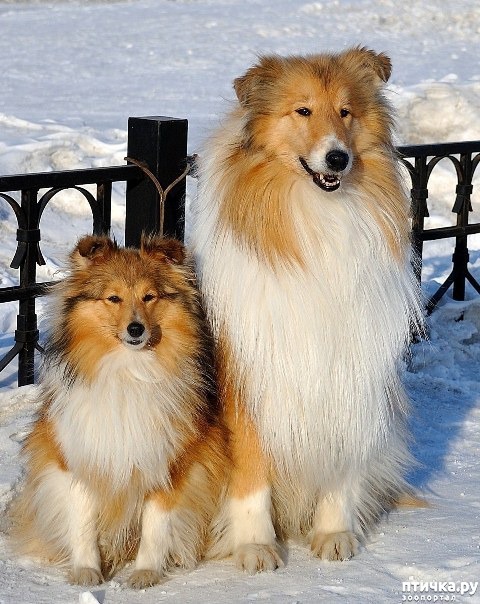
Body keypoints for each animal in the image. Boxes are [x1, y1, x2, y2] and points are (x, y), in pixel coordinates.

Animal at [10, 237, 229, 588]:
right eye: (113, 298)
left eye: (149, 296)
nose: (136, 329)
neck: (128, 371)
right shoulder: (80, 458)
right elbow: (83, 522)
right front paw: (87, 572)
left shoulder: (168, 464)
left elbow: (155, 524)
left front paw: (145, 574)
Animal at [191, 48, 424, 572]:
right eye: (302, 111)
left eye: (346, 112)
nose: (338, 157)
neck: (322, 213)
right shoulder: (250, 379)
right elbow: (252, 473)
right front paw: (255, 546)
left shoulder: (347, 375)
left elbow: (340, 460)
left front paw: (334, 534)